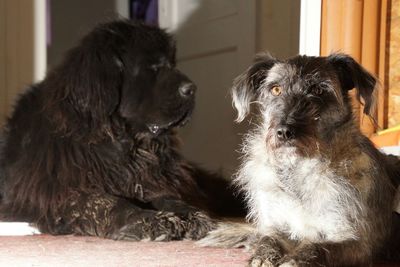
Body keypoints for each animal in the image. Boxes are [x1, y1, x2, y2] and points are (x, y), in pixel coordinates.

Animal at [0, 21, 244, 242]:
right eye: (152, 67)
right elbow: (105, 201)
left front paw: (190, 215)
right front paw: (148, 220)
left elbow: (168, 196)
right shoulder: (55, 192)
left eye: (172, 64)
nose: (192, 89)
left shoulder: (147, 179)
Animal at [200, 53, 400, 266]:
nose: (284, 132)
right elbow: (267, 238)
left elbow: (318, 246)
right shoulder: (277, 224)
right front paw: (262, 255)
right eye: (276, 89)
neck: (299, 169)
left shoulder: (358, 242)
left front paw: (295, 260)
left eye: (319, 90)